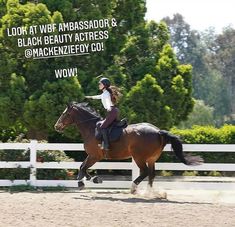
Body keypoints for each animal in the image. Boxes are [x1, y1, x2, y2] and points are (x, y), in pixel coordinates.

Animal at [54, 103, 203, 193]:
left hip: (139, 157)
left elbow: (82, 167)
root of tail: (158, 131)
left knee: (144, 172)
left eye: (65, 114)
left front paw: (83, 183)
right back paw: (150, 193)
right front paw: (93, 179)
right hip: (151, 159)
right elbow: (83, 167)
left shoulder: (95, 155)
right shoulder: (92, 156)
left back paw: (133, 188)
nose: (56, 126)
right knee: (151, 174)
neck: (91, 128)